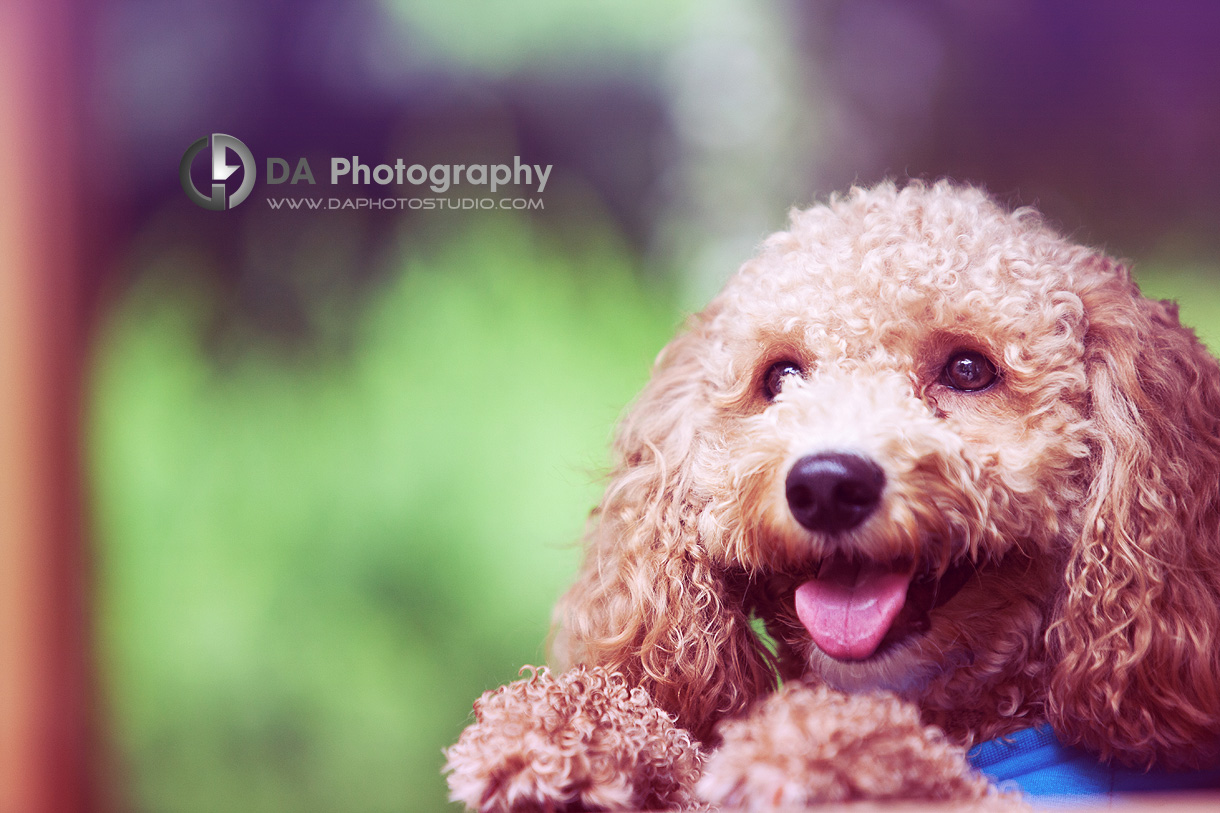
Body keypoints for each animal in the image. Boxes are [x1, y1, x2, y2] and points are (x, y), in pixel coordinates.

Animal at [446, 180, 1220, 805]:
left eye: (970, 369)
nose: (825, 484)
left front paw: (817, 741)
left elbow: (938, 779)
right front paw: (559, 727)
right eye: (781, 376)